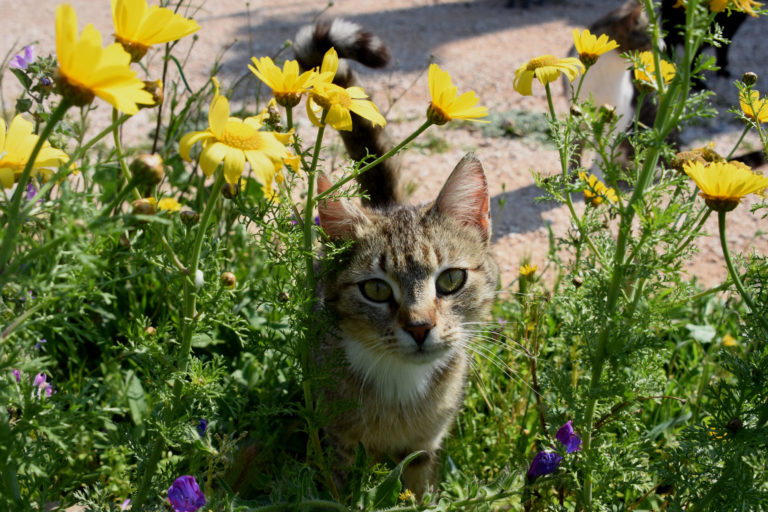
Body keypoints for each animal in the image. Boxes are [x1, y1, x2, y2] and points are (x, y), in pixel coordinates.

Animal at [292, 19, 498, 496]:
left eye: (451, 280)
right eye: (375, 289)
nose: (420, 327)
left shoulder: (426, 444)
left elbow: (419, 485)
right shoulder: (337, 440)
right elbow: (341, 488)